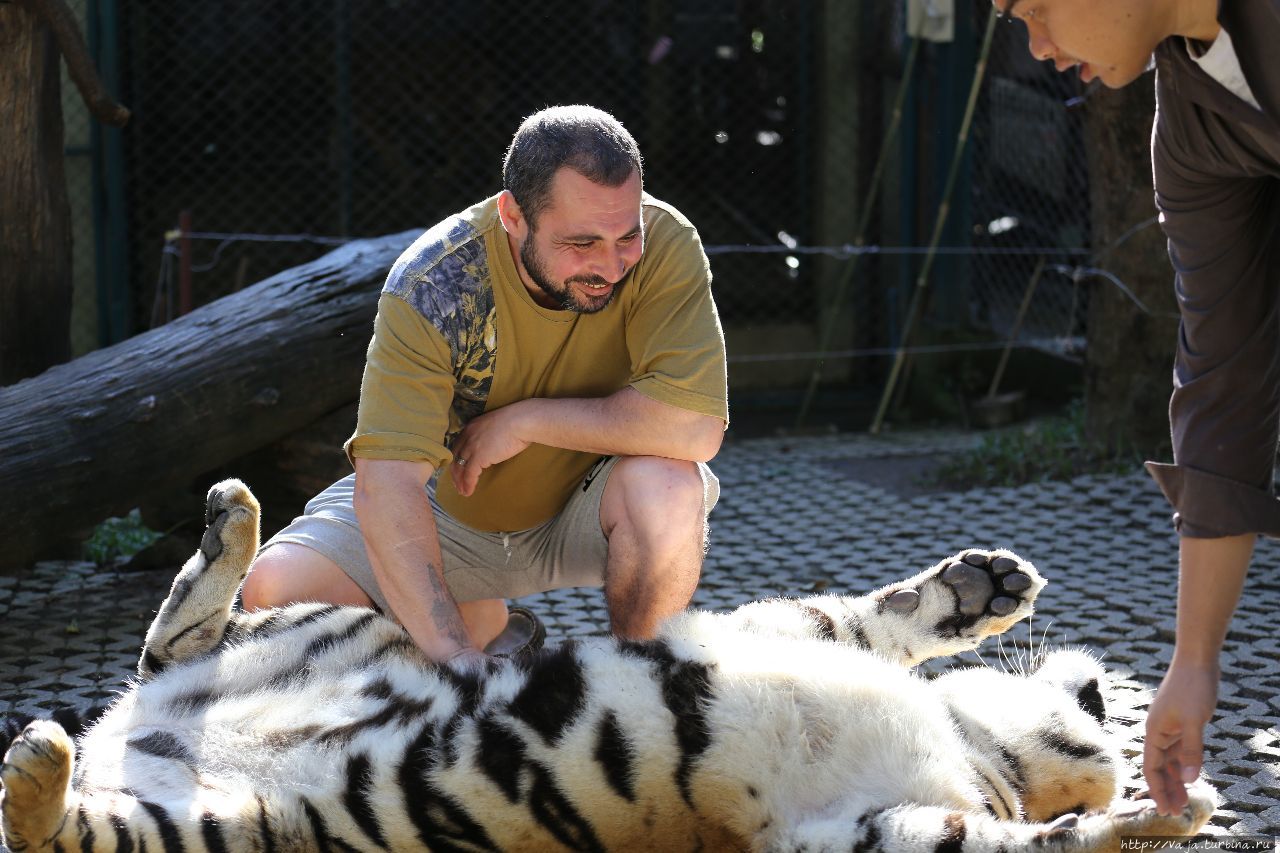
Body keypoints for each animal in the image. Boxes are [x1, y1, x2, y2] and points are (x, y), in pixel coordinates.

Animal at [5, 479, 1213, 850]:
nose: (1102, 684)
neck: (978, 755)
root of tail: (131, 729)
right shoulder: (788, 631)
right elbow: (873, 616)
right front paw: (982, 586)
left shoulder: (856, 829)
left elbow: (1003, 841)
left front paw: (1141, 820)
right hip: (342, 627)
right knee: (180, 631)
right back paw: (232, 514)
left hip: (217, 823)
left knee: (66, 817)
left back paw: (36, 767)